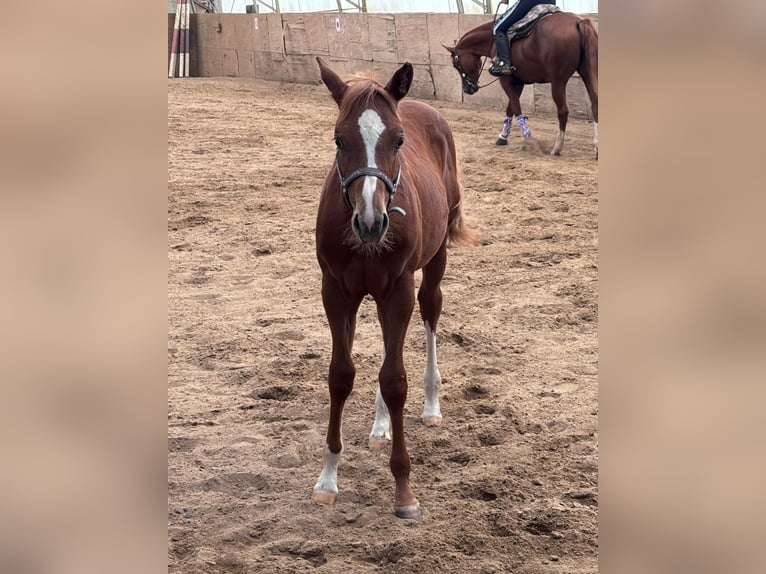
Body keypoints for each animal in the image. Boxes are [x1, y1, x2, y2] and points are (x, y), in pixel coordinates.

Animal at [312, 57, 477, 519]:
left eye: (399, 140)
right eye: (339, 139)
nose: (371, 222)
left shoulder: (398, 289)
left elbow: (395, 380)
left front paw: (404, 490)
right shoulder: (336, 290)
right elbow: (341, 375)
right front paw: (328, 478)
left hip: (432, 265)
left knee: (430, 312)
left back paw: (431, 405)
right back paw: (380, 425)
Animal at [445, 10, 598, 158]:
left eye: (456, 64)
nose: (467, 89)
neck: (493, 41)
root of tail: (579, 22)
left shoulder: (505, 80)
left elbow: (516, 107)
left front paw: (528, 140)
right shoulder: (518, 82)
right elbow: (510, 108)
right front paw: (503, 137)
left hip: (558, 81)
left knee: (563, 111)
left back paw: (557, 148)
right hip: (587, 74)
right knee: (595, 104)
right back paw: (596, 149)